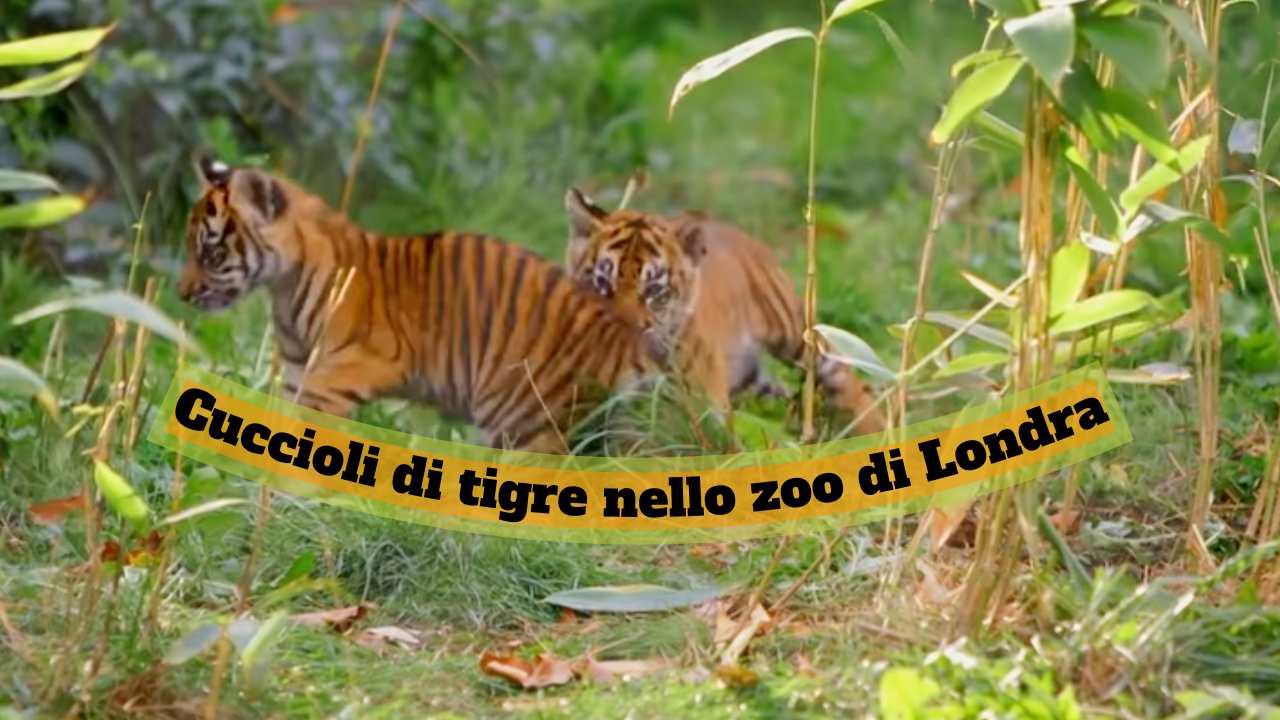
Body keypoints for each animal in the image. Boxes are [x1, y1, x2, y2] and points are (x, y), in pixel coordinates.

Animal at [176, 158, 663, 453]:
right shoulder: (298, 374)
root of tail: (621, 333)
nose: (181, 294)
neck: (283, 288)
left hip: (526, 419)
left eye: (211, 253)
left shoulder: (350, 368)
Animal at [564, 187, 884, 437]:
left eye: (654, 289)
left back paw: (872, 429)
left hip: (794, 332)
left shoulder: (704, 403)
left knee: (844, 375)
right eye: (602, 282)